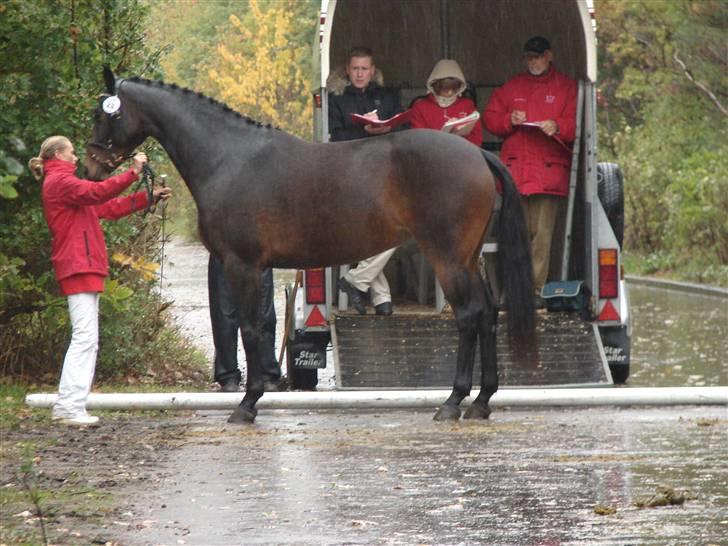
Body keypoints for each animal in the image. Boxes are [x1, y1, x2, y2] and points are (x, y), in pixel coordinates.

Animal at [85, 68, 536, 422]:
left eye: (102, 114)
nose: (89, 168)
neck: (229, 158)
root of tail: (476, 154)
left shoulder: (242, 264)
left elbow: (250, 328)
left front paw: (247, 404)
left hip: (448, 257)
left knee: (469, 316)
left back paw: (453, 401)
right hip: (470, 257)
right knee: (488, 314)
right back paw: (481, 401)